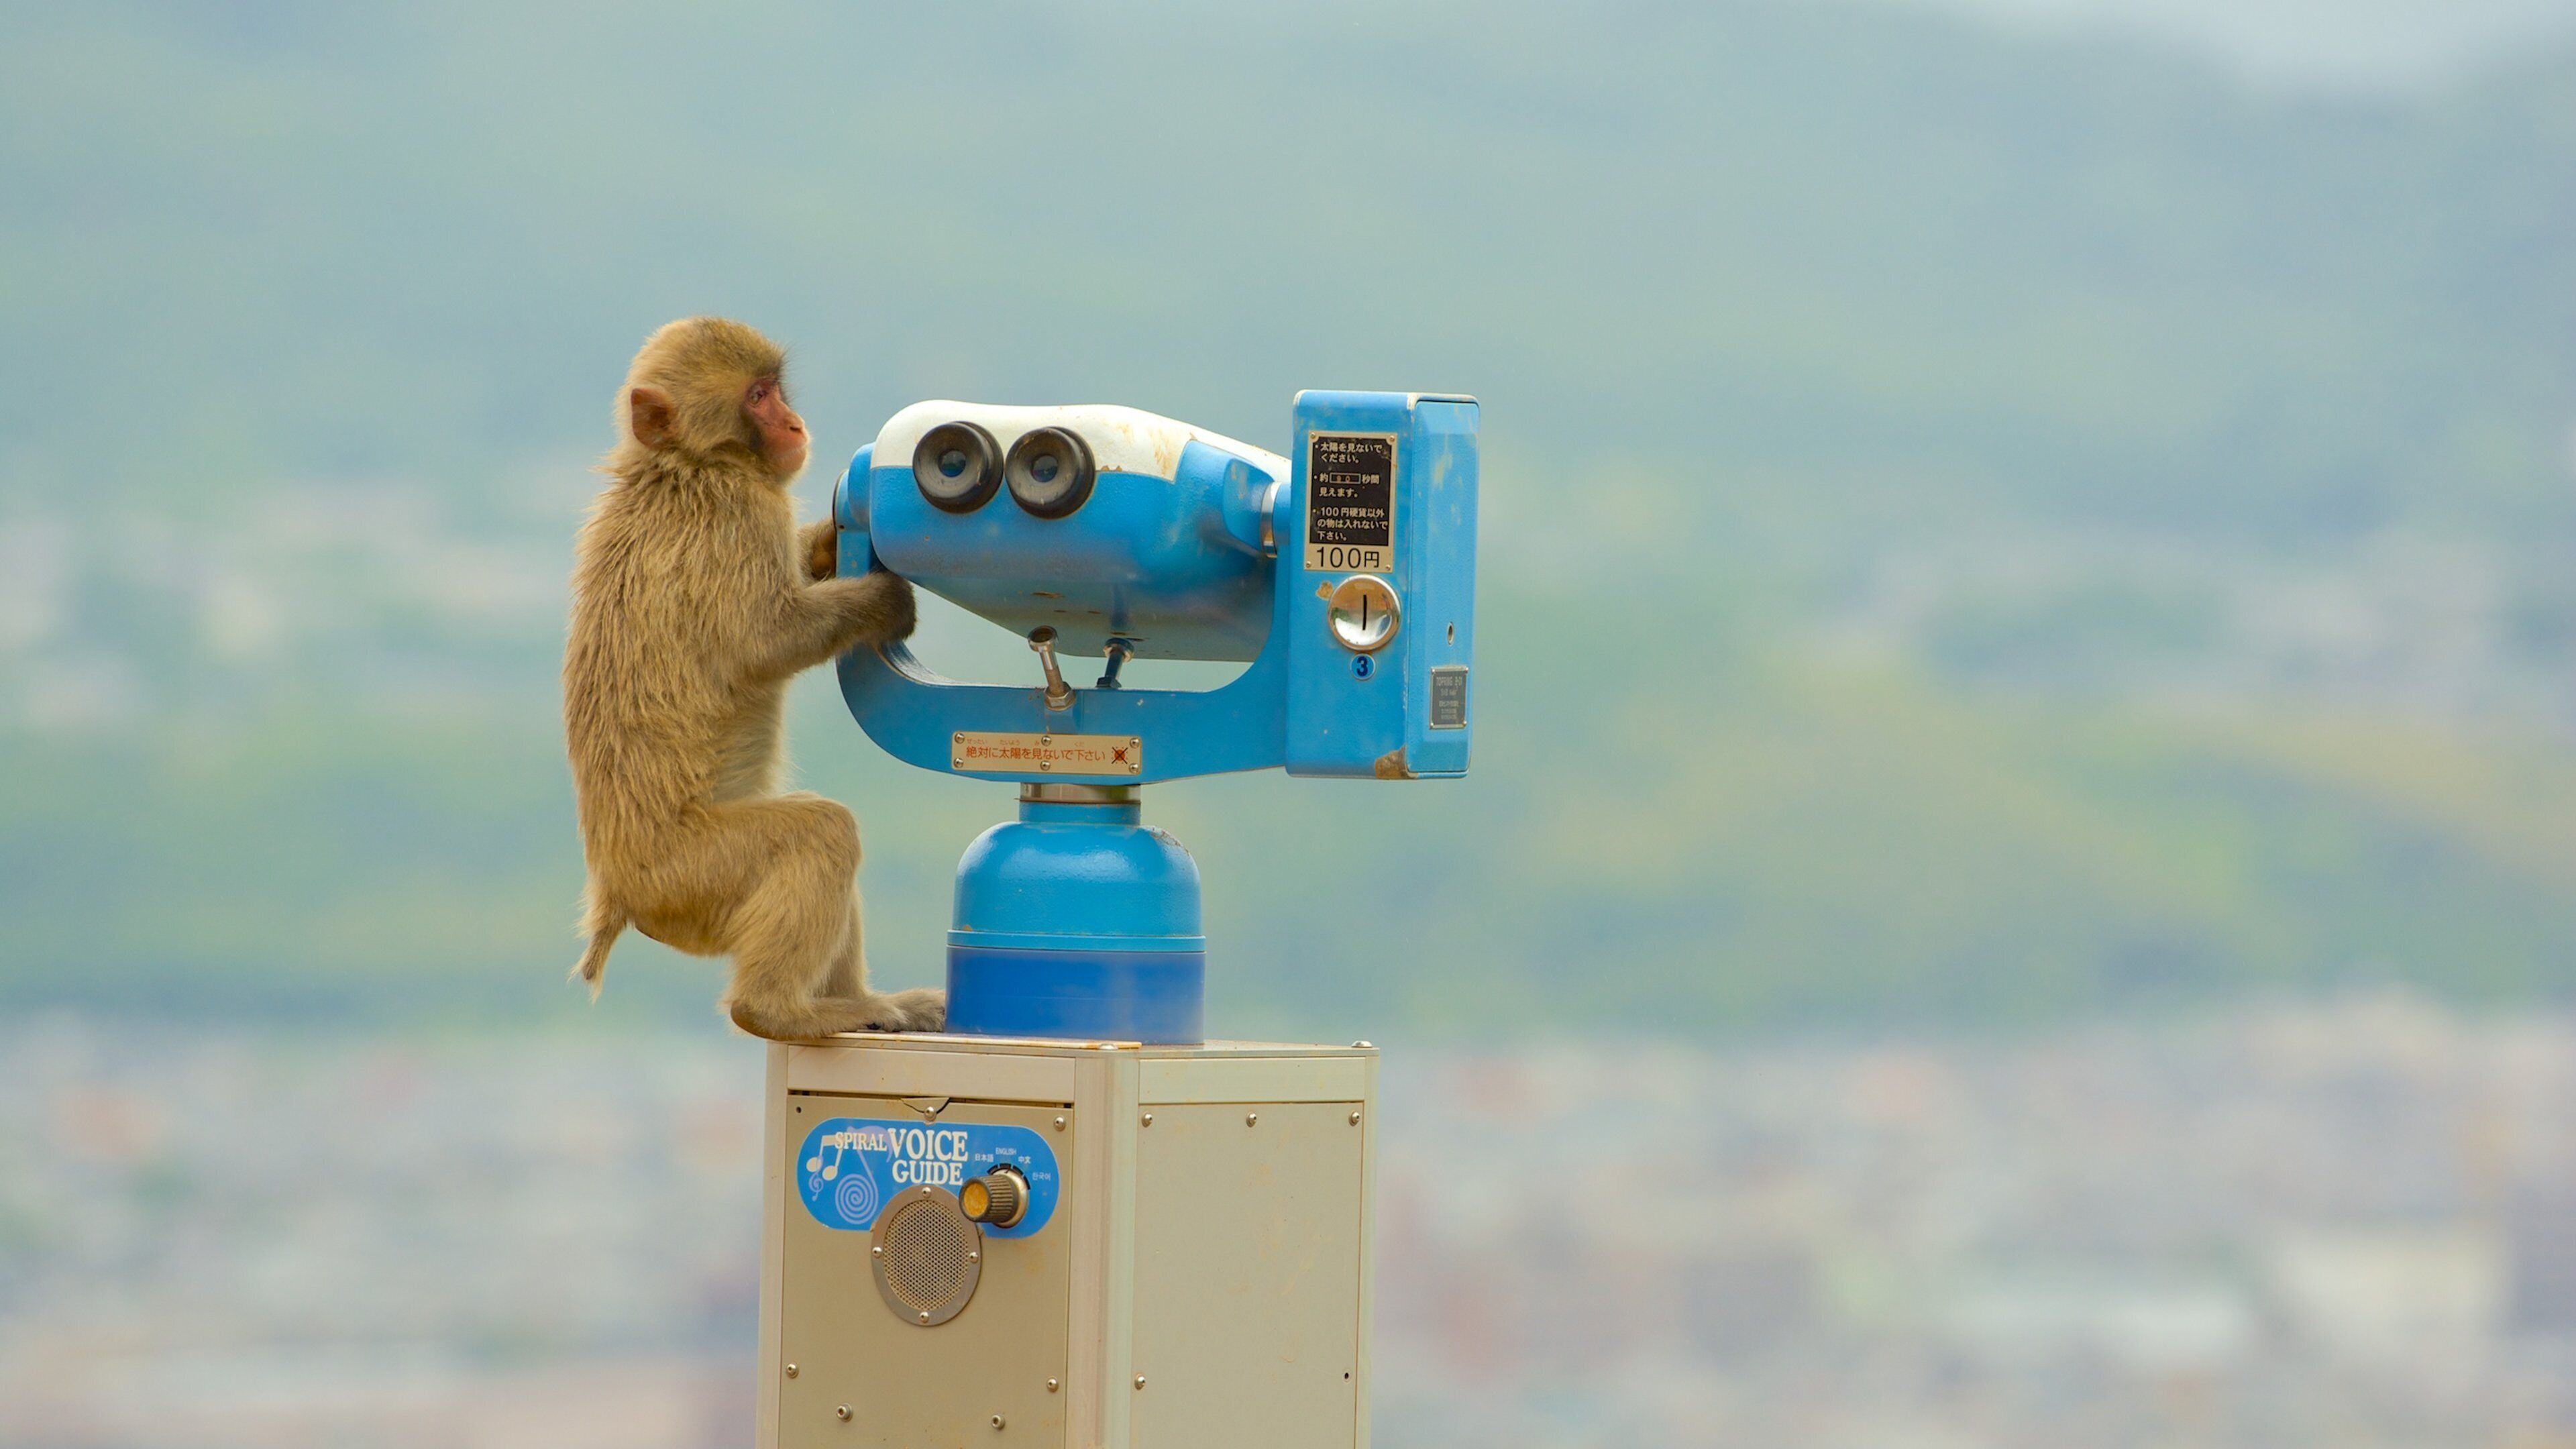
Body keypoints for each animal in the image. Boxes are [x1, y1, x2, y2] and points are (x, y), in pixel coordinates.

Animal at [563, 316, 944, 1039]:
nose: (794, 423)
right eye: (759, 396)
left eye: (777, 389)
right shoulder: (738, 513)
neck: (689, 463)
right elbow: (765, 641)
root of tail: (618, 894)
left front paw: (827, 545)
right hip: (690, 877)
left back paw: (865, 1002)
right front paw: (884, 602)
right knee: (822, 831)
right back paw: (777, 1008)